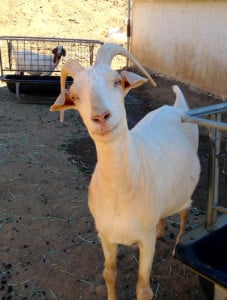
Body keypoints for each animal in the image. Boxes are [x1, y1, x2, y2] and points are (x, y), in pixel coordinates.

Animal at [50, 42, 200, 300]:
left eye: (117, 81)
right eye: (75, 96)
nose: (101, 116)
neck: (120, 191)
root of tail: (176, 107)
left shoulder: (145, 240)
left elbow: (143, 288)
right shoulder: (106, 236)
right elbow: (109, 275)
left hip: (187, 191)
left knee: (184, 213)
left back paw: (178, 244)